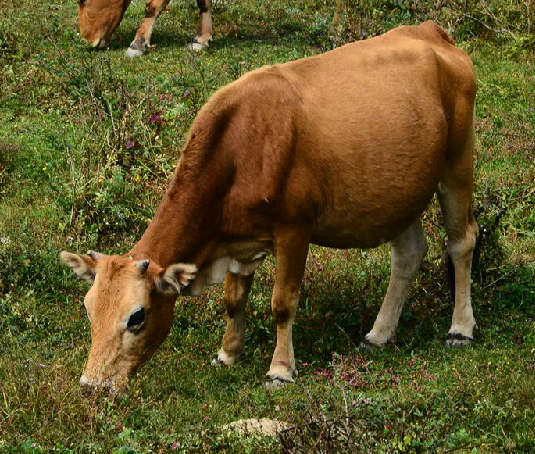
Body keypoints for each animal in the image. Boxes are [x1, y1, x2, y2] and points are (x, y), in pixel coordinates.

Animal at [60, 22, 480, 390]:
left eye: (137, 316)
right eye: (88, 308)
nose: (91, 384)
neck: (241, 147)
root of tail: (431, 32)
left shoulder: (295, 228)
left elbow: (283, 303)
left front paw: (279, 369)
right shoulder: (237, 238)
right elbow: (233, 299)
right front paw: (228, 353)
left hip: (457, 163)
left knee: (462, 241)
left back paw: (460, 328)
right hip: (401, 190)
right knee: (408, 253)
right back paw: (379, 333)